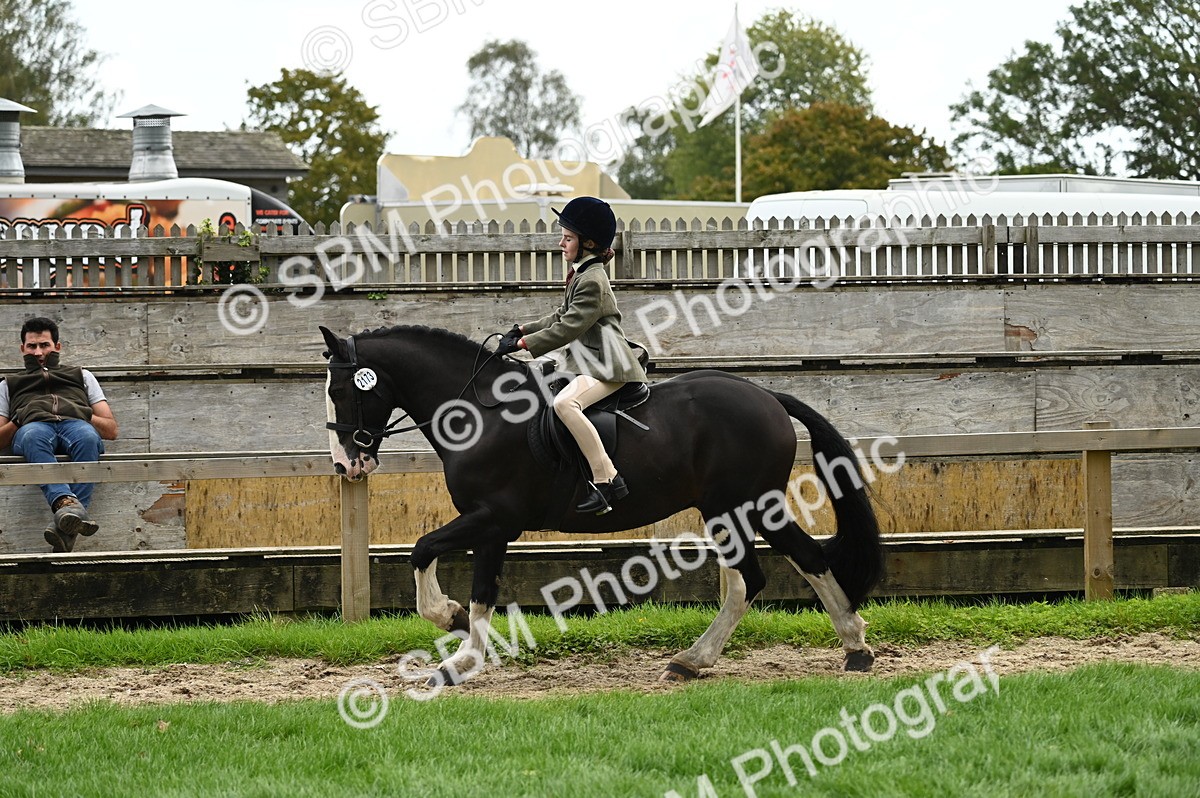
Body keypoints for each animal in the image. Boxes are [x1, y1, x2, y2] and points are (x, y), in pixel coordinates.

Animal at [319, 324, 884, 683]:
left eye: (344, 390)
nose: (347, 465)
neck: (483, 414)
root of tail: (767, 397)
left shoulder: (492, 518)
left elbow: (424, 552)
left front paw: (451, 629)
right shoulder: (493, 528)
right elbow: (479, 590)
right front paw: (463, 649)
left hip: (744, 505)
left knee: (787, 564)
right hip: (733, 510)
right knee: (769, 571)